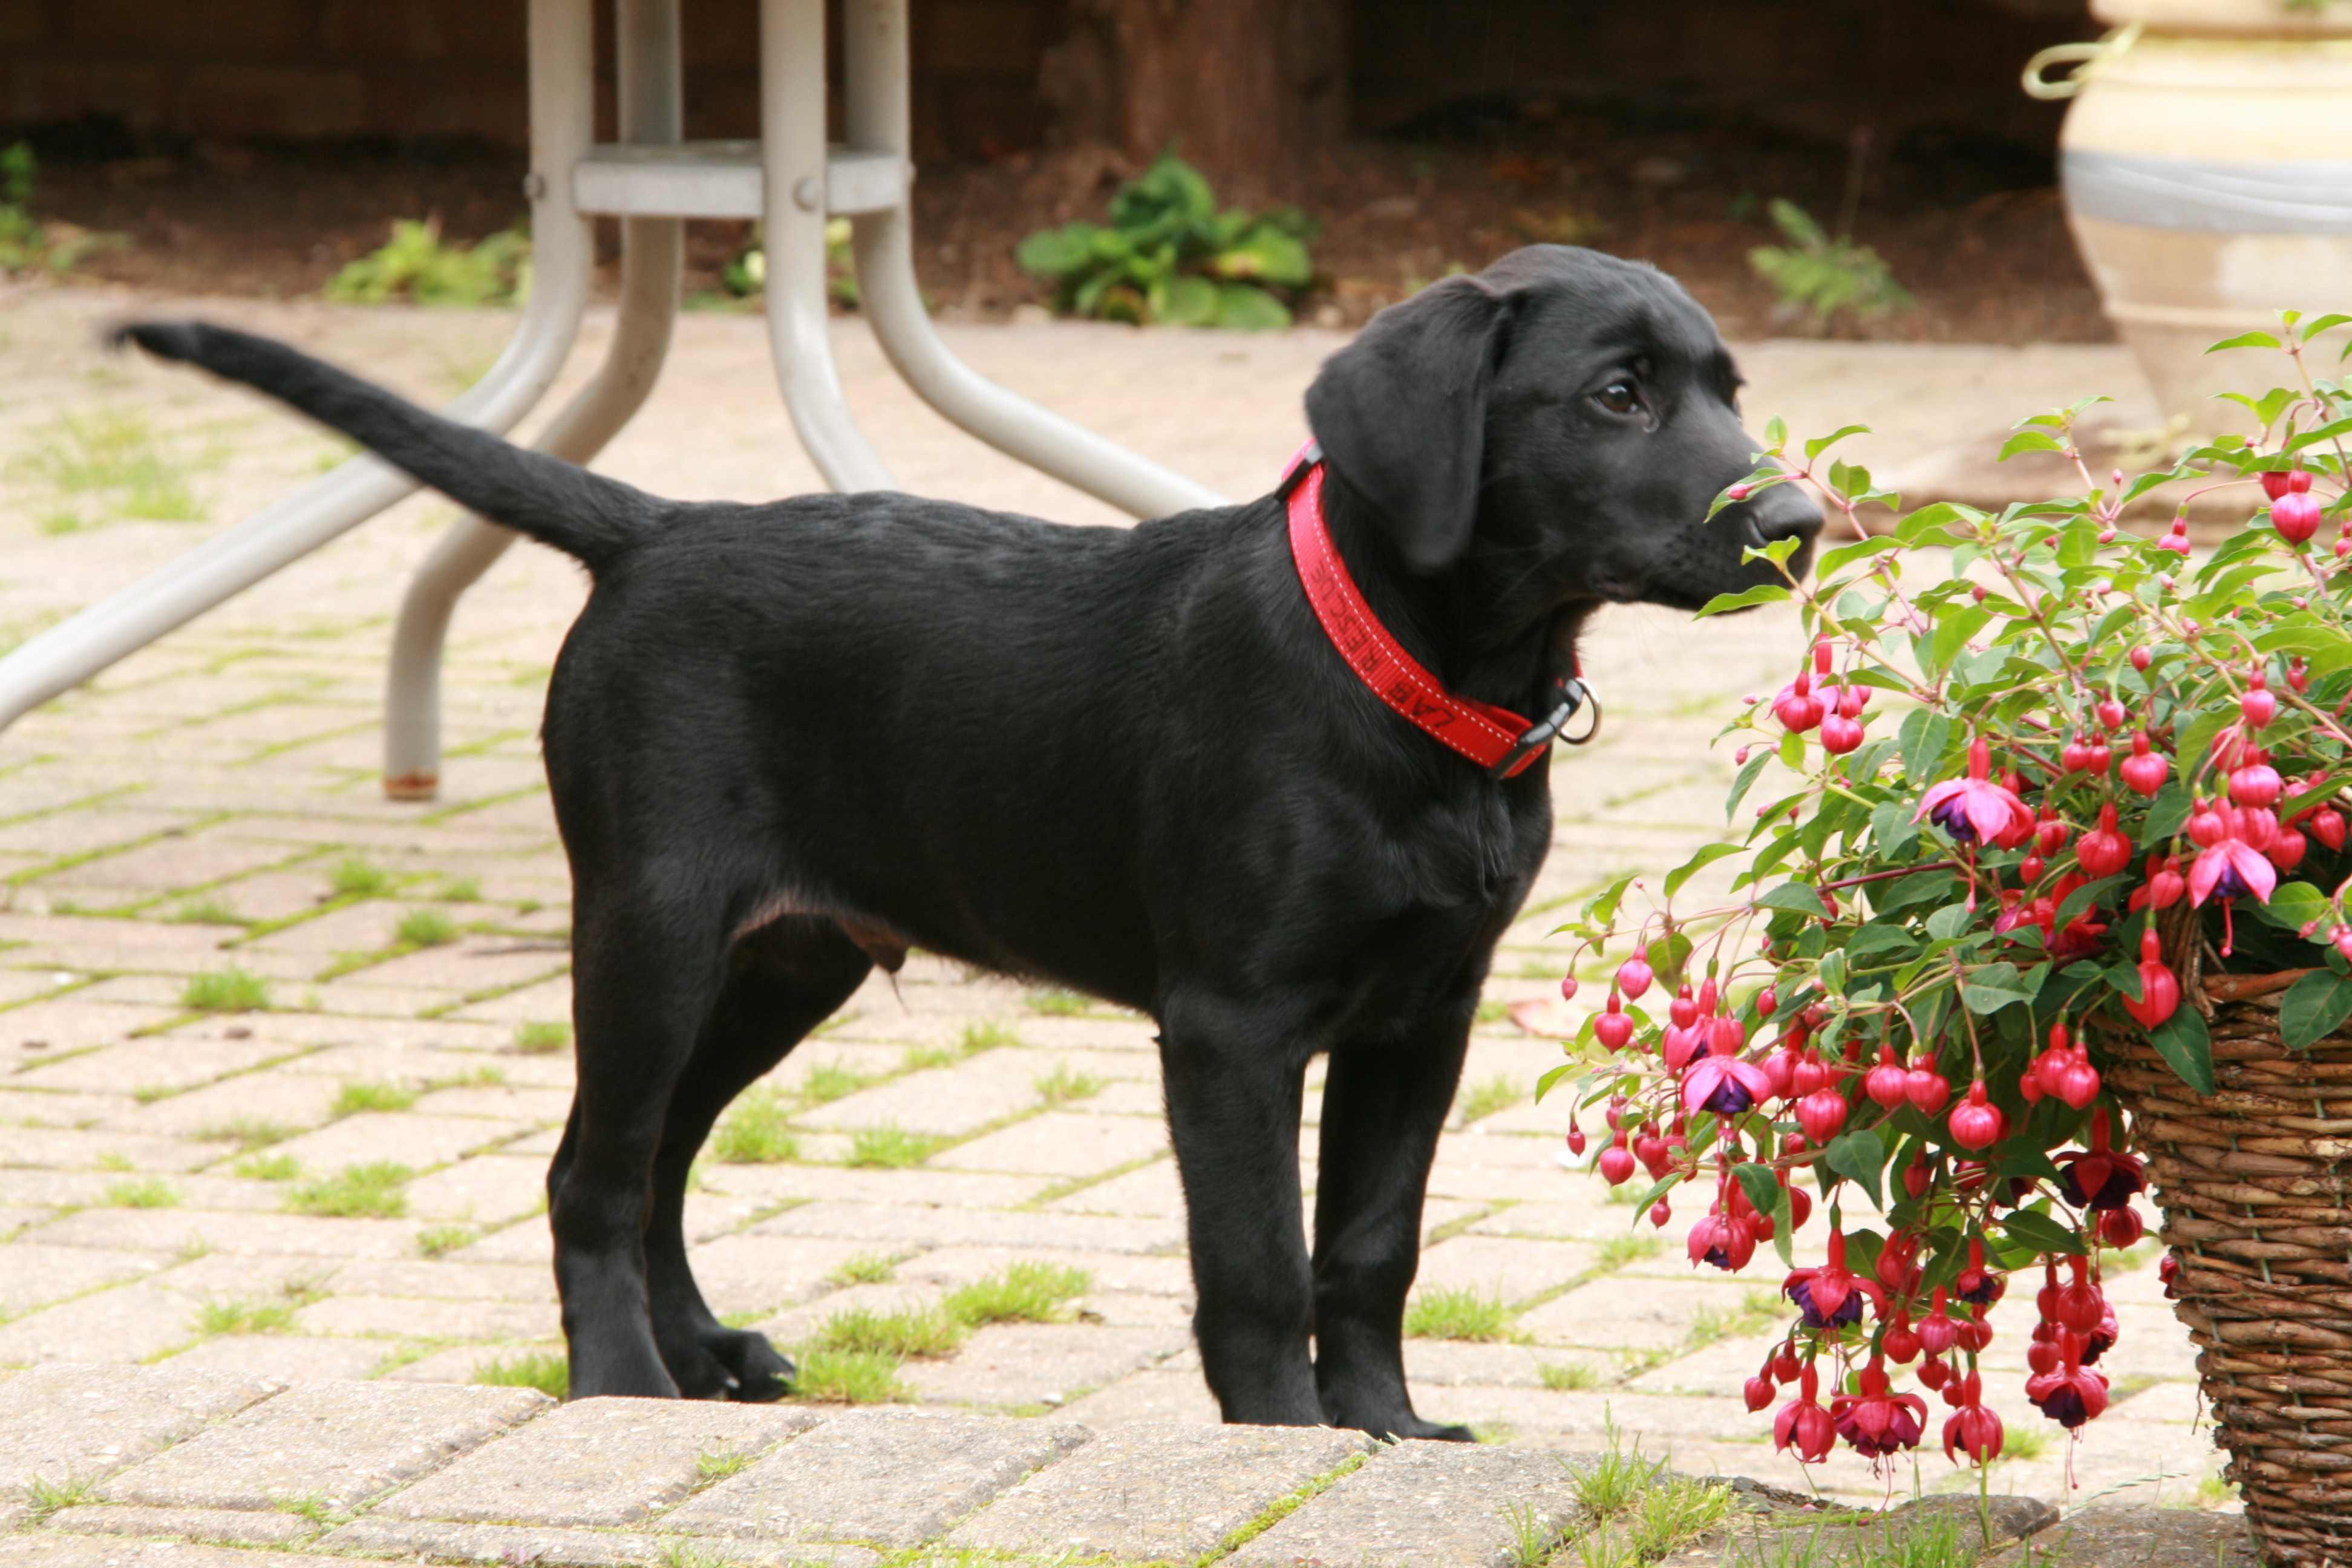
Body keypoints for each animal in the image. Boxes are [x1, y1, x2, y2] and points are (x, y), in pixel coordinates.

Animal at [119, 242, 1825, 1439]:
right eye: (1617, 395)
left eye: (1730, 391)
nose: (1800, 524)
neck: (1418, 684)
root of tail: (656, 526)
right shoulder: (1233, 1026)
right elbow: (1260, 1265)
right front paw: (1286, 1442)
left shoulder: (1425, 1014)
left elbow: (1369, 1249)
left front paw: (1387, 1437)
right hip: (650, 927)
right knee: (595, 1173)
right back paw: (623, 1384)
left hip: (784, 957)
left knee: (654, 1154)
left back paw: (702, 1350)